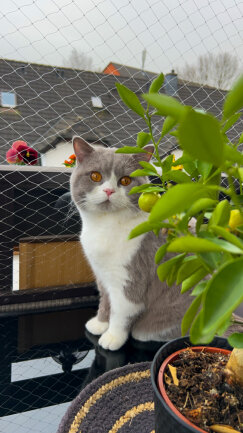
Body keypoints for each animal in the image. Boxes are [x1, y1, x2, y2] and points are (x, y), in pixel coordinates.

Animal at [69, 137, 191, 350]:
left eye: (125, 180)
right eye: (95, 176)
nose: (109, 190)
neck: (106, 226)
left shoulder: (131, 276)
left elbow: (121, 311)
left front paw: (112, 337)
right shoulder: (102, 276)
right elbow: (105, 300)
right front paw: (100, 323)